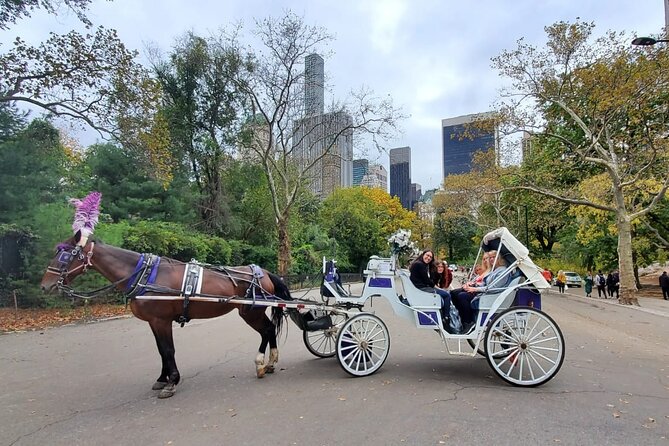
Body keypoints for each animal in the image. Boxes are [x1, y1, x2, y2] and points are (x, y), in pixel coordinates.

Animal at [40, 230, 290, 398]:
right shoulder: (154, 322)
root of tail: (262, 271)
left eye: (66, 255)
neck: (146, 275)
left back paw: (260, 364)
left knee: (266, 331)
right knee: (269, 330)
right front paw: (162, 379)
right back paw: (270, 364)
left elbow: (168, 350)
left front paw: (172, 382)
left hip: (251, 313)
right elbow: (161, 350)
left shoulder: (161, 321)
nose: (45, 286)